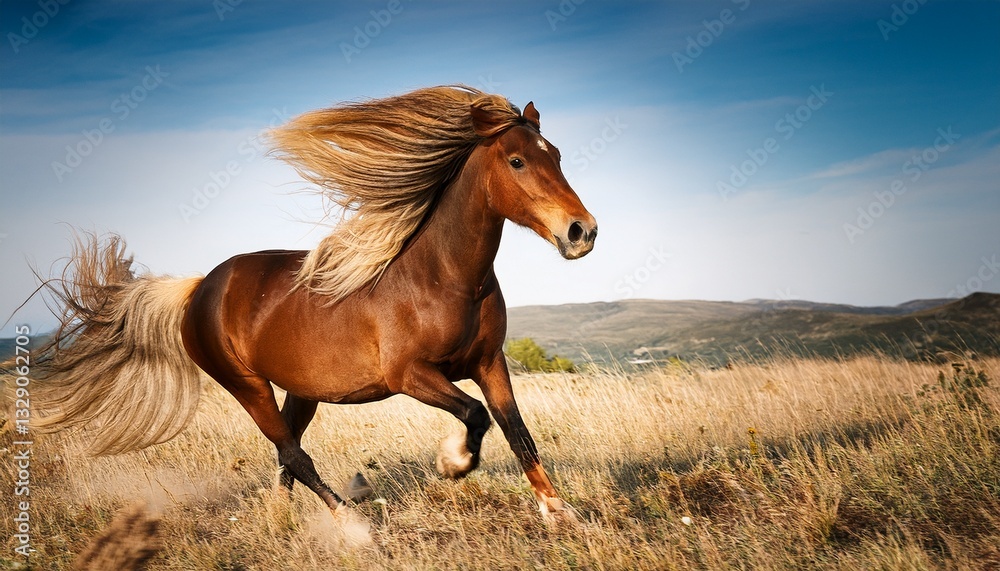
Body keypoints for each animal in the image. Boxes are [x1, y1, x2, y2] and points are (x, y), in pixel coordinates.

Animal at [34, 85, 597, 524]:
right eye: (517, 161)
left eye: (557, 154)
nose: (582, 232)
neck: (445, 279)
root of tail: (199, 288)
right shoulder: (409, 375)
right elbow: (476, 416)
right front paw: (452, 463)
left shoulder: (488, 363)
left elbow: (518, 433)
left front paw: (558, 512)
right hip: (247, 386)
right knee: (293, 454)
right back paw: (352, 526)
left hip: (301, 391)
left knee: (288, 457)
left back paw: (288, 521)